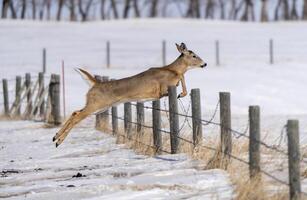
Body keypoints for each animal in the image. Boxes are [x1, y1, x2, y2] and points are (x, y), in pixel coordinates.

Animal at [53, 42, 207, 147]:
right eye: (194, 55)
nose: (204, 64)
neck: (171, 69)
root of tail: (96, 84)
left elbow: (182, 78)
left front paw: (181, 93)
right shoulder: (163, 88)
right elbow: (181, 77)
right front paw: (181, 93)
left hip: (99, 107)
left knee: (75, 112)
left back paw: (55, 137)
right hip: (96, 104)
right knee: (77, 116)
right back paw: (58, 140)